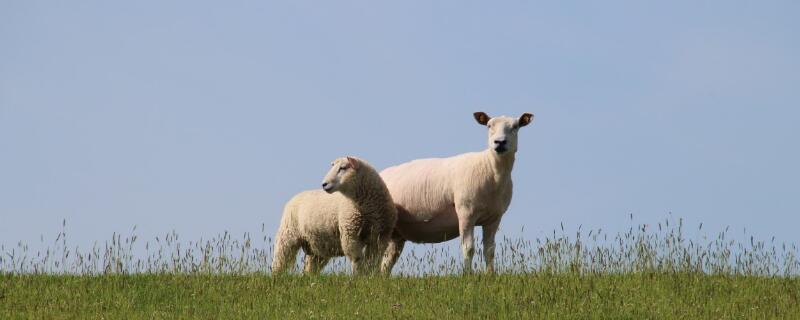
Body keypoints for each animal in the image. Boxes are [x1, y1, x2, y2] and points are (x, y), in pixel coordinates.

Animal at [380, 112, 536, 272]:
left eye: (515, 126)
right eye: (489, 126)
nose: (499, 142)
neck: (492, 171)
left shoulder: (494, 218)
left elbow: (490, 251)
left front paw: (490, 274)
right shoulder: (466, 213)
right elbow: (468, 248)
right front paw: (468, 274)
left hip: (396, 234)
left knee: (387, 261)